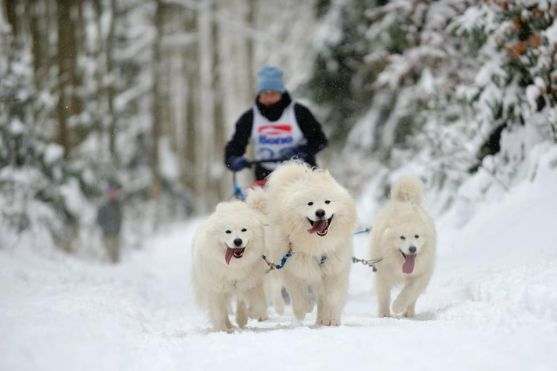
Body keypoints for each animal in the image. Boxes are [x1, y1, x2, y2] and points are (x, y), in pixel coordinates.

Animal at [192, 202, 268, 332]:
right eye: (228, 231)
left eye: (244, 230)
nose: (237, 241)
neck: (234, 266)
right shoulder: (216, 289)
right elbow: (218, 312)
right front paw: (221, 330)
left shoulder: (252, 283)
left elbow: (258, 304)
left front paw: (251, 315)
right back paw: (228, 326)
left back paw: (241, 320)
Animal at [248, 161, 356, 326]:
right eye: (310, 203)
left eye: (327, 201)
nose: (320, 212)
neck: (317, 244)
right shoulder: (293, 269)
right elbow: (299, 299)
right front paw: (306, 309)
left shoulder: (335, 268)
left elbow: (332, 297)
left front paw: (331, 319)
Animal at [370, 176, 434, 318]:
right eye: (402, 237)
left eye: (416, 236)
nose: (412, 249)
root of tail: (404, 200)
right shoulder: (382, 274)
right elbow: (384, 296)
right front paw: (384, 314)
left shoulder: (422, 273)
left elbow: (410, 292)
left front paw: (397, 306)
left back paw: (408, 313)